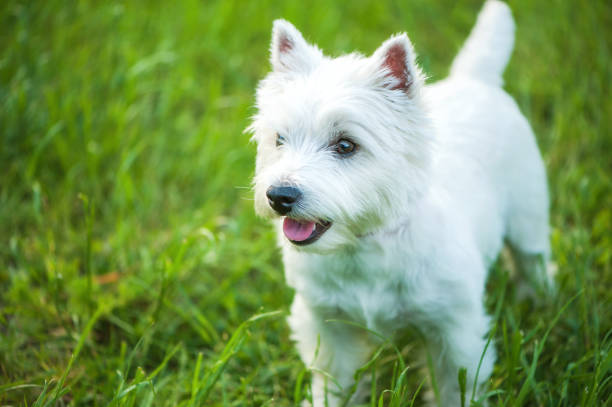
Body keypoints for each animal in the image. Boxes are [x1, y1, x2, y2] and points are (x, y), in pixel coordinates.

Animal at [249, 1, 556, 406]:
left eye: (345, 144)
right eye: (279, 139)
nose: (279, 196)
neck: (364, 246)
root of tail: (476, 80)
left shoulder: (453, 328)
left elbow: (455, 384)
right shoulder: (327, 325)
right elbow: (334, 381)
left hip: (527, 219)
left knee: (531, 261)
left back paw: (539, 301)